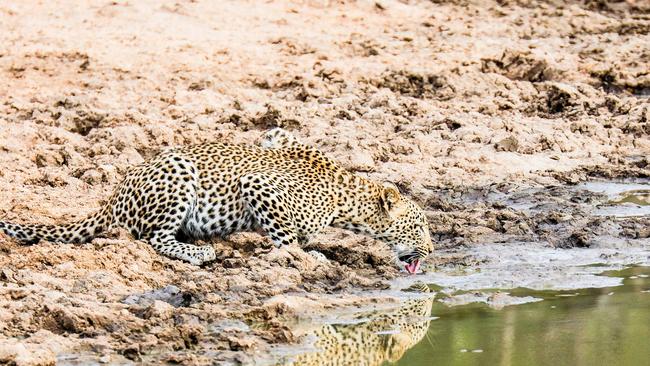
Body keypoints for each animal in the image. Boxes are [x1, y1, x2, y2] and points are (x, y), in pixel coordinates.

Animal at [2, 127, 432, 274]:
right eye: (419, 226)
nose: (429, 251)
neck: (348, 200)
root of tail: (113, 197)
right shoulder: (257, 184)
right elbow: (287, 237)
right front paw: (304, 255)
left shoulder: (278, 135)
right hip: (178, 173)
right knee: (154, 238)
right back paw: (200, 252)